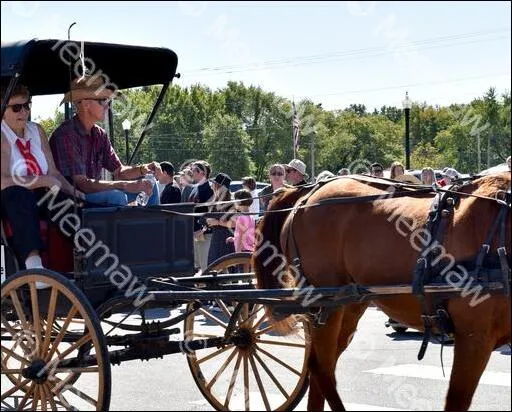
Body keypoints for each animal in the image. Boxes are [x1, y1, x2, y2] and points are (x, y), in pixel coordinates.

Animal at [254, 172, 510, 410]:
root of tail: (306, 195)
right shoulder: (474, 337)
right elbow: (458, 398)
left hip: (348, 305)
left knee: (320, 367)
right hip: (324, 306)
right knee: (320, 368)